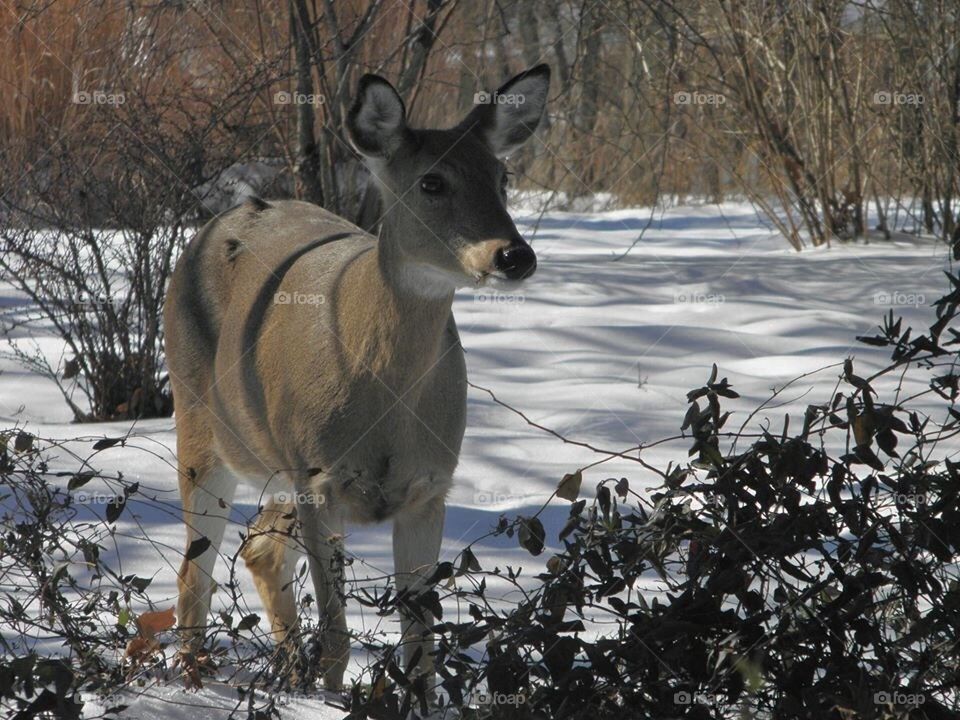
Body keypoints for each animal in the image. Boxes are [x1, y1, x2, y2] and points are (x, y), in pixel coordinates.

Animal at [163, 64, 550, 691]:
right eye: (432, 182)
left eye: (503, 177)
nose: (514, 255)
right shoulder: (319, 480)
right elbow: (337, 644)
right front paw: (326, 694)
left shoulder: (429, 486)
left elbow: (420, 653)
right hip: (200, 418)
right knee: (194, 573)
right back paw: (194, 680)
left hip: (280, 462)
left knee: (258, 549)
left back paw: (280, 670)